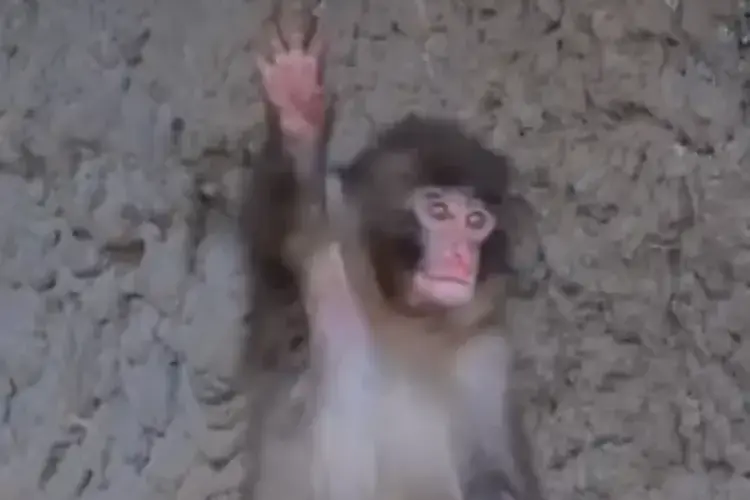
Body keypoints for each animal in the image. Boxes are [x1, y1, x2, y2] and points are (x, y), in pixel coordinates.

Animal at [240, 8, 545, 500]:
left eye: (476, 221)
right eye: (437, 211)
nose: (460, 257)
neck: (403, 318)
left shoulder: (487, 357)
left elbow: (503, 477)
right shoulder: (320, 262)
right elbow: (286, 237)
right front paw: (296, 116)